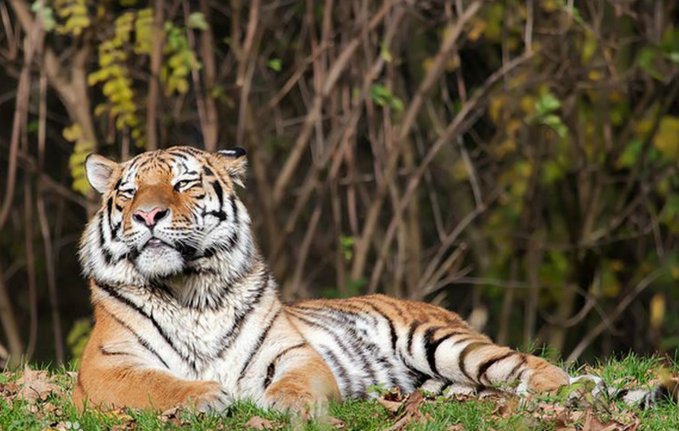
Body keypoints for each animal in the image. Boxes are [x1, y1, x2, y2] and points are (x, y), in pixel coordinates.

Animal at [73, 146, 677, 415]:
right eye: (128, 192)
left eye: (184, 184)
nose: (148, 216)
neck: (190, 289)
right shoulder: (104, 370)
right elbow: (157, 383)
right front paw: (206, 396)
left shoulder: (293, 353)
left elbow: (295, 381)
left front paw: (284, 406)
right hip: (442, 381)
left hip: (446, 343)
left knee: (532, 366)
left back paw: (569, 392)